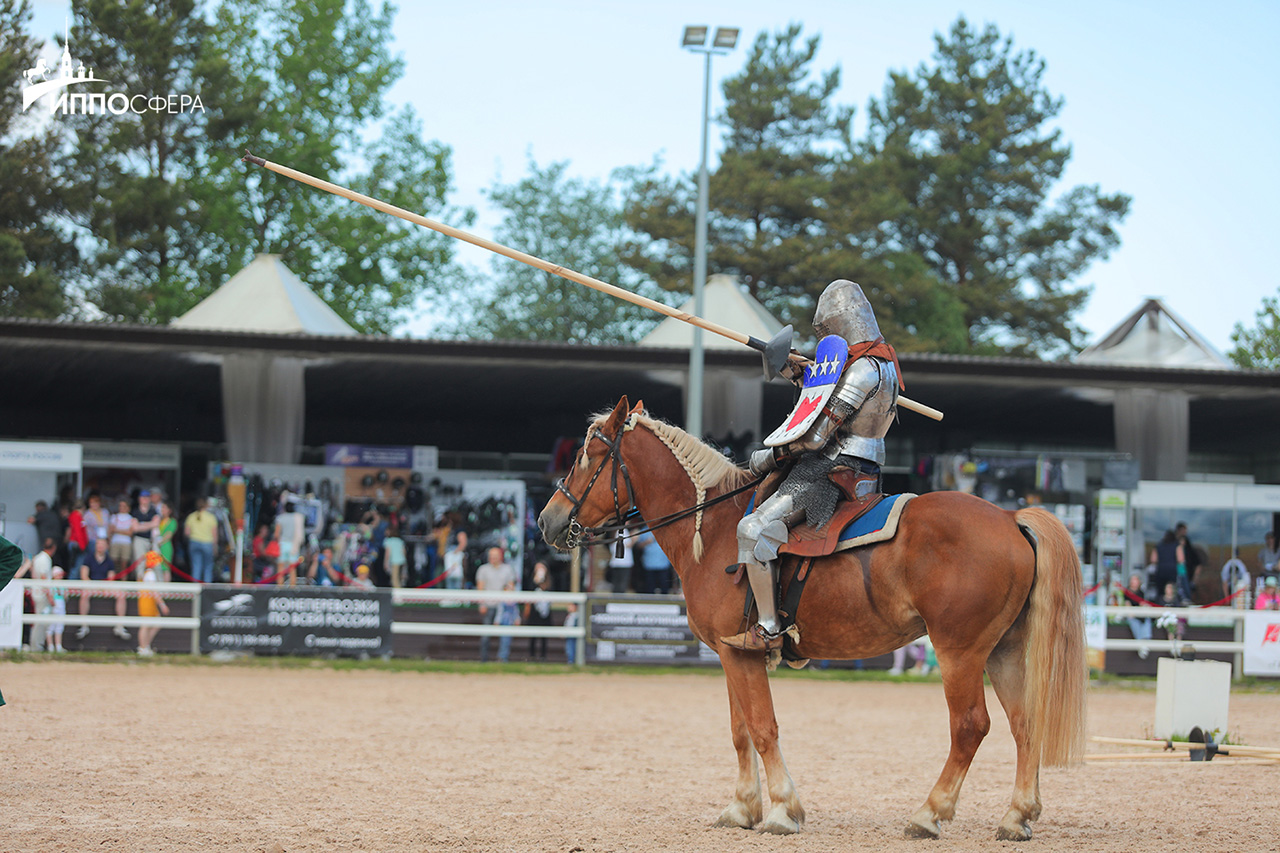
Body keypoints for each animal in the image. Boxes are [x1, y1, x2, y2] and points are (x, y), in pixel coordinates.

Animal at [535, 399, 1085, 835]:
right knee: (1025, 724)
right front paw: (742, 808)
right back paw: (1017, 815)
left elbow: (762, 728)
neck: (713, 529)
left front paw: (782, 809)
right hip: (1003, 650)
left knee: (970, 726)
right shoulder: (733, 656)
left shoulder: (740, 654)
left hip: (959, 652)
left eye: (589, 456)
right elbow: (740, 731)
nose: (548, 520)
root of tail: (1010, 518)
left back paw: (930, 813)